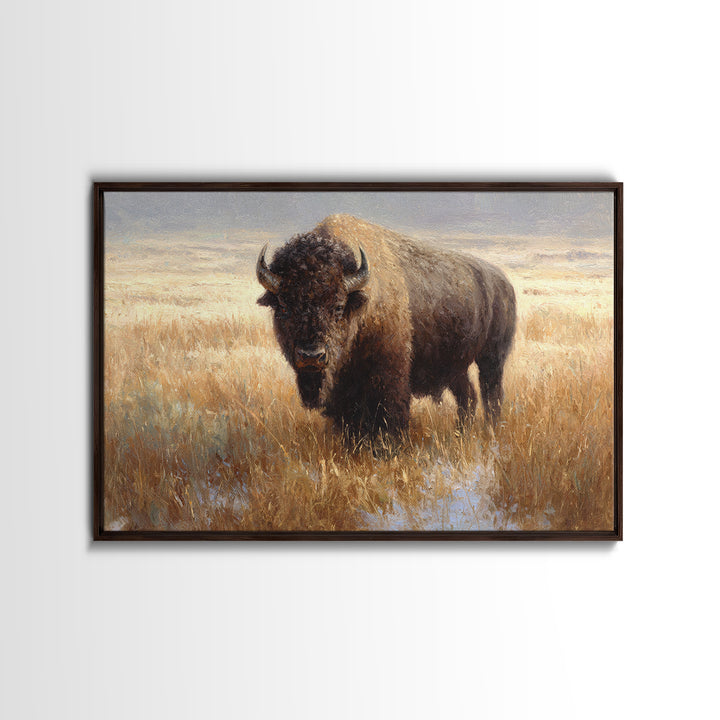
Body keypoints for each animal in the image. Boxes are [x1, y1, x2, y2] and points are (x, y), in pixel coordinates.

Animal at [256, 214, 516, 441]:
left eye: (338, 306)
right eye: (283, 306)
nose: (311, 356)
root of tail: (503, 282)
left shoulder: (389, 372)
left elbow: (389, 413)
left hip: (492, 359)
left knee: (491, 394)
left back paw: (490, 431)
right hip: (455, 366)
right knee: (468, 396)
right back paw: (461, 434)